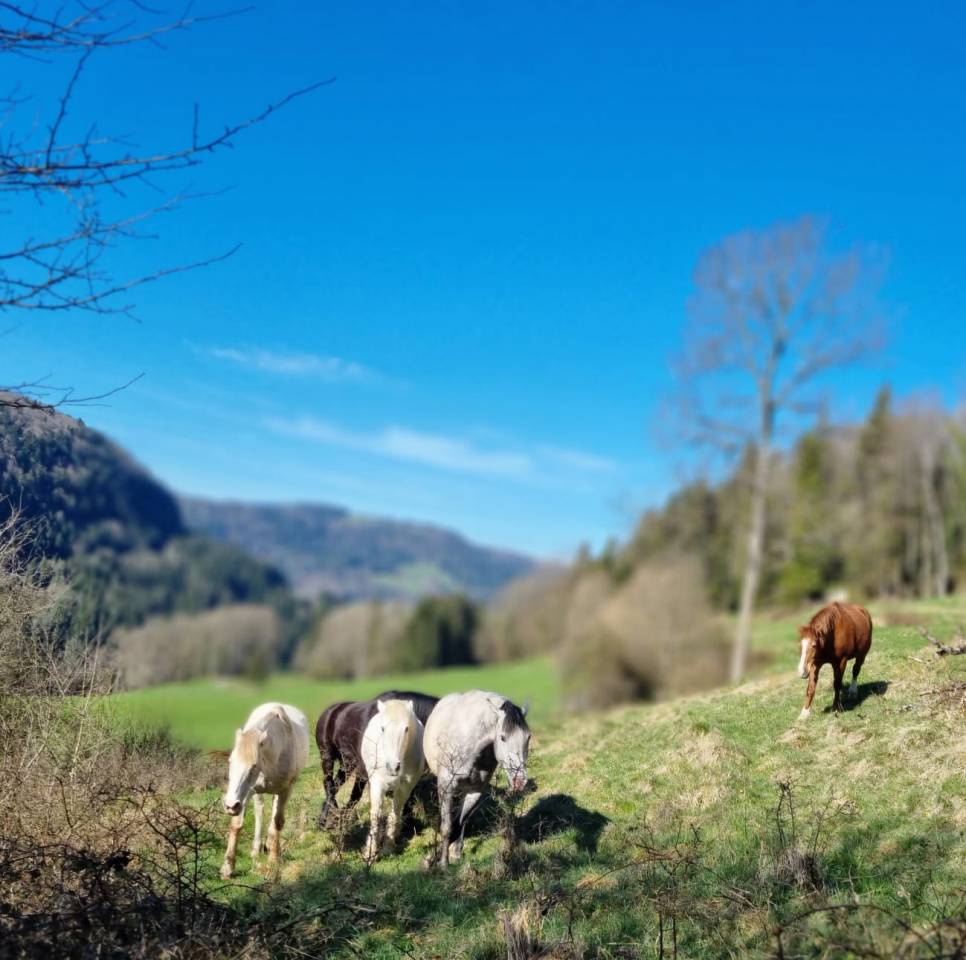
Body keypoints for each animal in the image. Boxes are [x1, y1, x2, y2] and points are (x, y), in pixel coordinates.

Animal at [220, 702, 310, 879]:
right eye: (230, 761)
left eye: (254, 766)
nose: (230, 805)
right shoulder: (247, 792)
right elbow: (237, 824)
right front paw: (227, 868)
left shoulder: (285, 790)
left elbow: (277, 823)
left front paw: (273, 860)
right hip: (257, 793)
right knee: (259, 811)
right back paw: (256, 849)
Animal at [315, 690, 439, 825]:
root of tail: (331, 710)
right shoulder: (365, 771)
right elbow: (356, 794)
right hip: (327, 756)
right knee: (329, 783)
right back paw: (326, 817)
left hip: (347, 763)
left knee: (335, 784)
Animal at [359, 698, 426, 862]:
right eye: (382, 729)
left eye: (406, 729)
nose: (393, 767)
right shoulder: (377, 784)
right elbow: (375, 815)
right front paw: (370, 852)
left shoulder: (405, 787)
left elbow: (394, 814)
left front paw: (388, 848)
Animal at [422, 689, 531, 869]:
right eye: (502, 738)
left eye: (528, 737)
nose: (519, 781)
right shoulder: (446, 786)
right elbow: (447, 826)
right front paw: (442, 863)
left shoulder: (475, 790)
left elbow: (460, 821)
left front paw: (453, 852)